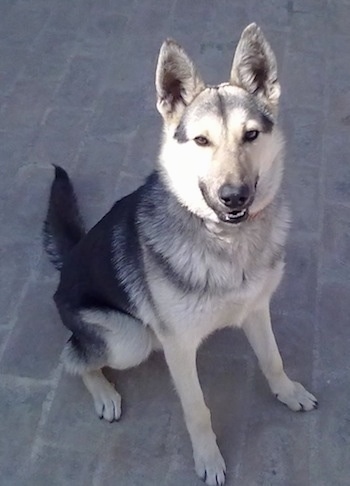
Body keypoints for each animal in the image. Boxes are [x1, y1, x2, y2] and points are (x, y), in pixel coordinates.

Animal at [43, 23, 318, 486]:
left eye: (251, 135)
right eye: (202, 140)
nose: (233, 197)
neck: (225, 240)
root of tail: (72, 254)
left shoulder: (257, 309)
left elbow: (272, 358)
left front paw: (288, 392)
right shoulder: (178, 346)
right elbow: (197, 410)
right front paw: (208, 459)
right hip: (130, 339)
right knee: (72, 356)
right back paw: (104, 392)